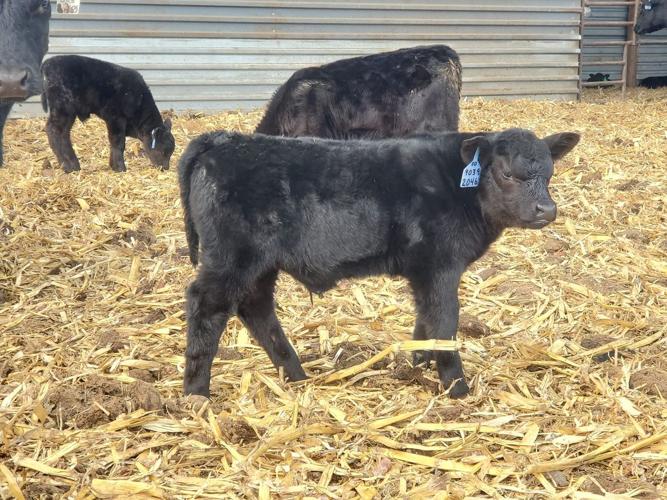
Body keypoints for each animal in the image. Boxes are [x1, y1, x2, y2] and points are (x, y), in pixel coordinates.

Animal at [41, 55, 175, 173]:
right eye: (164, 151)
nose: (165, 168)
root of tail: (48, 62)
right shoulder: (115, 118)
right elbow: (118, 142)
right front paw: (119, 168)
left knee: (63, 133)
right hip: (63, 108)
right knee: (55, 130)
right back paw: (69, 165)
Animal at [177, 128, 580, 399]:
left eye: (549, 173)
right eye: (507, 173)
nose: (547, 210)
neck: (460, 186)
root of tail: (223, 140)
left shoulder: (425, 272)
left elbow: (425, 318)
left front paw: (419, 365)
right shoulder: (441, 266)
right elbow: (445, 321)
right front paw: (456, 387)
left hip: (260, 264)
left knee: (256, 308)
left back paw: (294, 374)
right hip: (232, 257)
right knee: (208, 305)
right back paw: (197, 392)